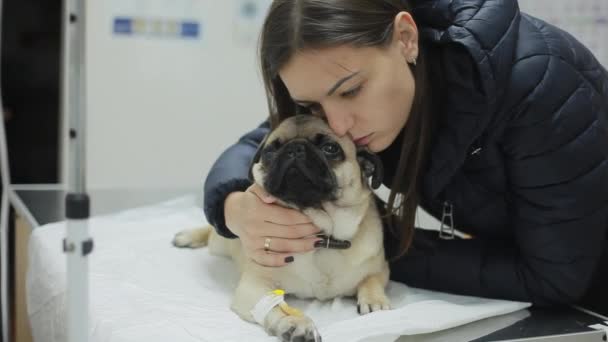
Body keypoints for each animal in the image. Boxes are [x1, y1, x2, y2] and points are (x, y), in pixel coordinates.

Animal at [173, 115, 390, 342]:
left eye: (330, 148)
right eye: (270, 151)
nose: (294, 148)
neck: (323, 237)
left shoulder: (381, 269)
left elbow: (371, 280)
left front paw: (375, 300)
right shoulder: (255, 286)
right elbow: (276, 308)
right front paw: (296, 323)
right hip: (221, 242)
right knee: (211, 232)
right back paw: (187, 236)